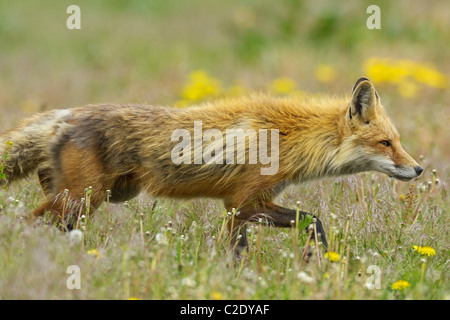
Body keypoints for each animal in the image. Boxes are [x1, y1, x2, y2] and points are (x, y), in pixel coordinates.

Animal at [0, 77, 422, 252]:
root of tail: (67, 114)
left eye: (398, 142)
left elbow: (237, 249)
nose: (418, 170)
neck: (291, 135)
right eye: (385, 143)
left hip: (91, 198)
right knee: (30, 221)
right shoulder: (247, 201)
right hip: (84, 198)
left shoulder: (236, 209)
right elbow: (313, 221)